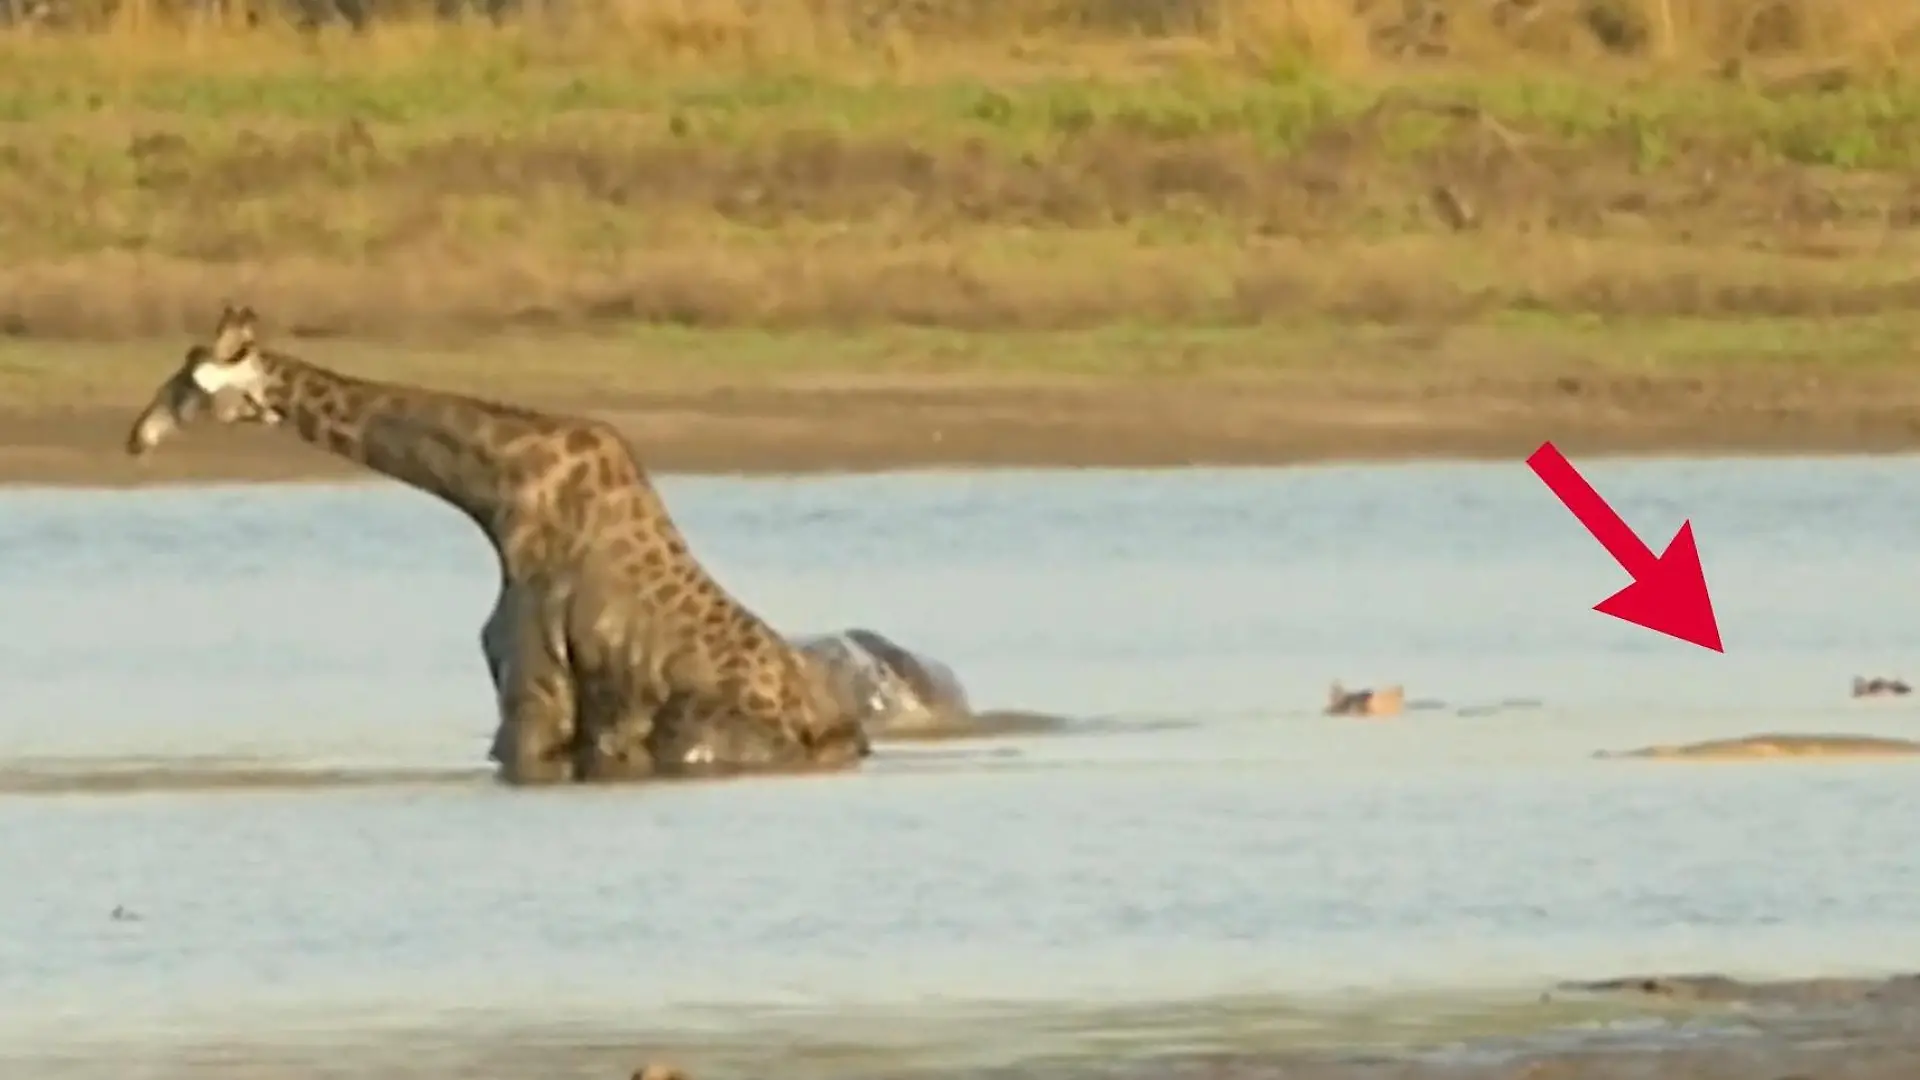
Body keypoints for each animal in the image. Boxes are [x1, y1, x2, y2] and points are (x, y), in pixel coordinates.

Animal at [125, 304, 871, 785]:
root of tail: (836, 731)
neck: (497, 496)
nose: (136, 436)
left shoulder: (530, 684)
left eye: (186, 381)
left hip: (699, 739)